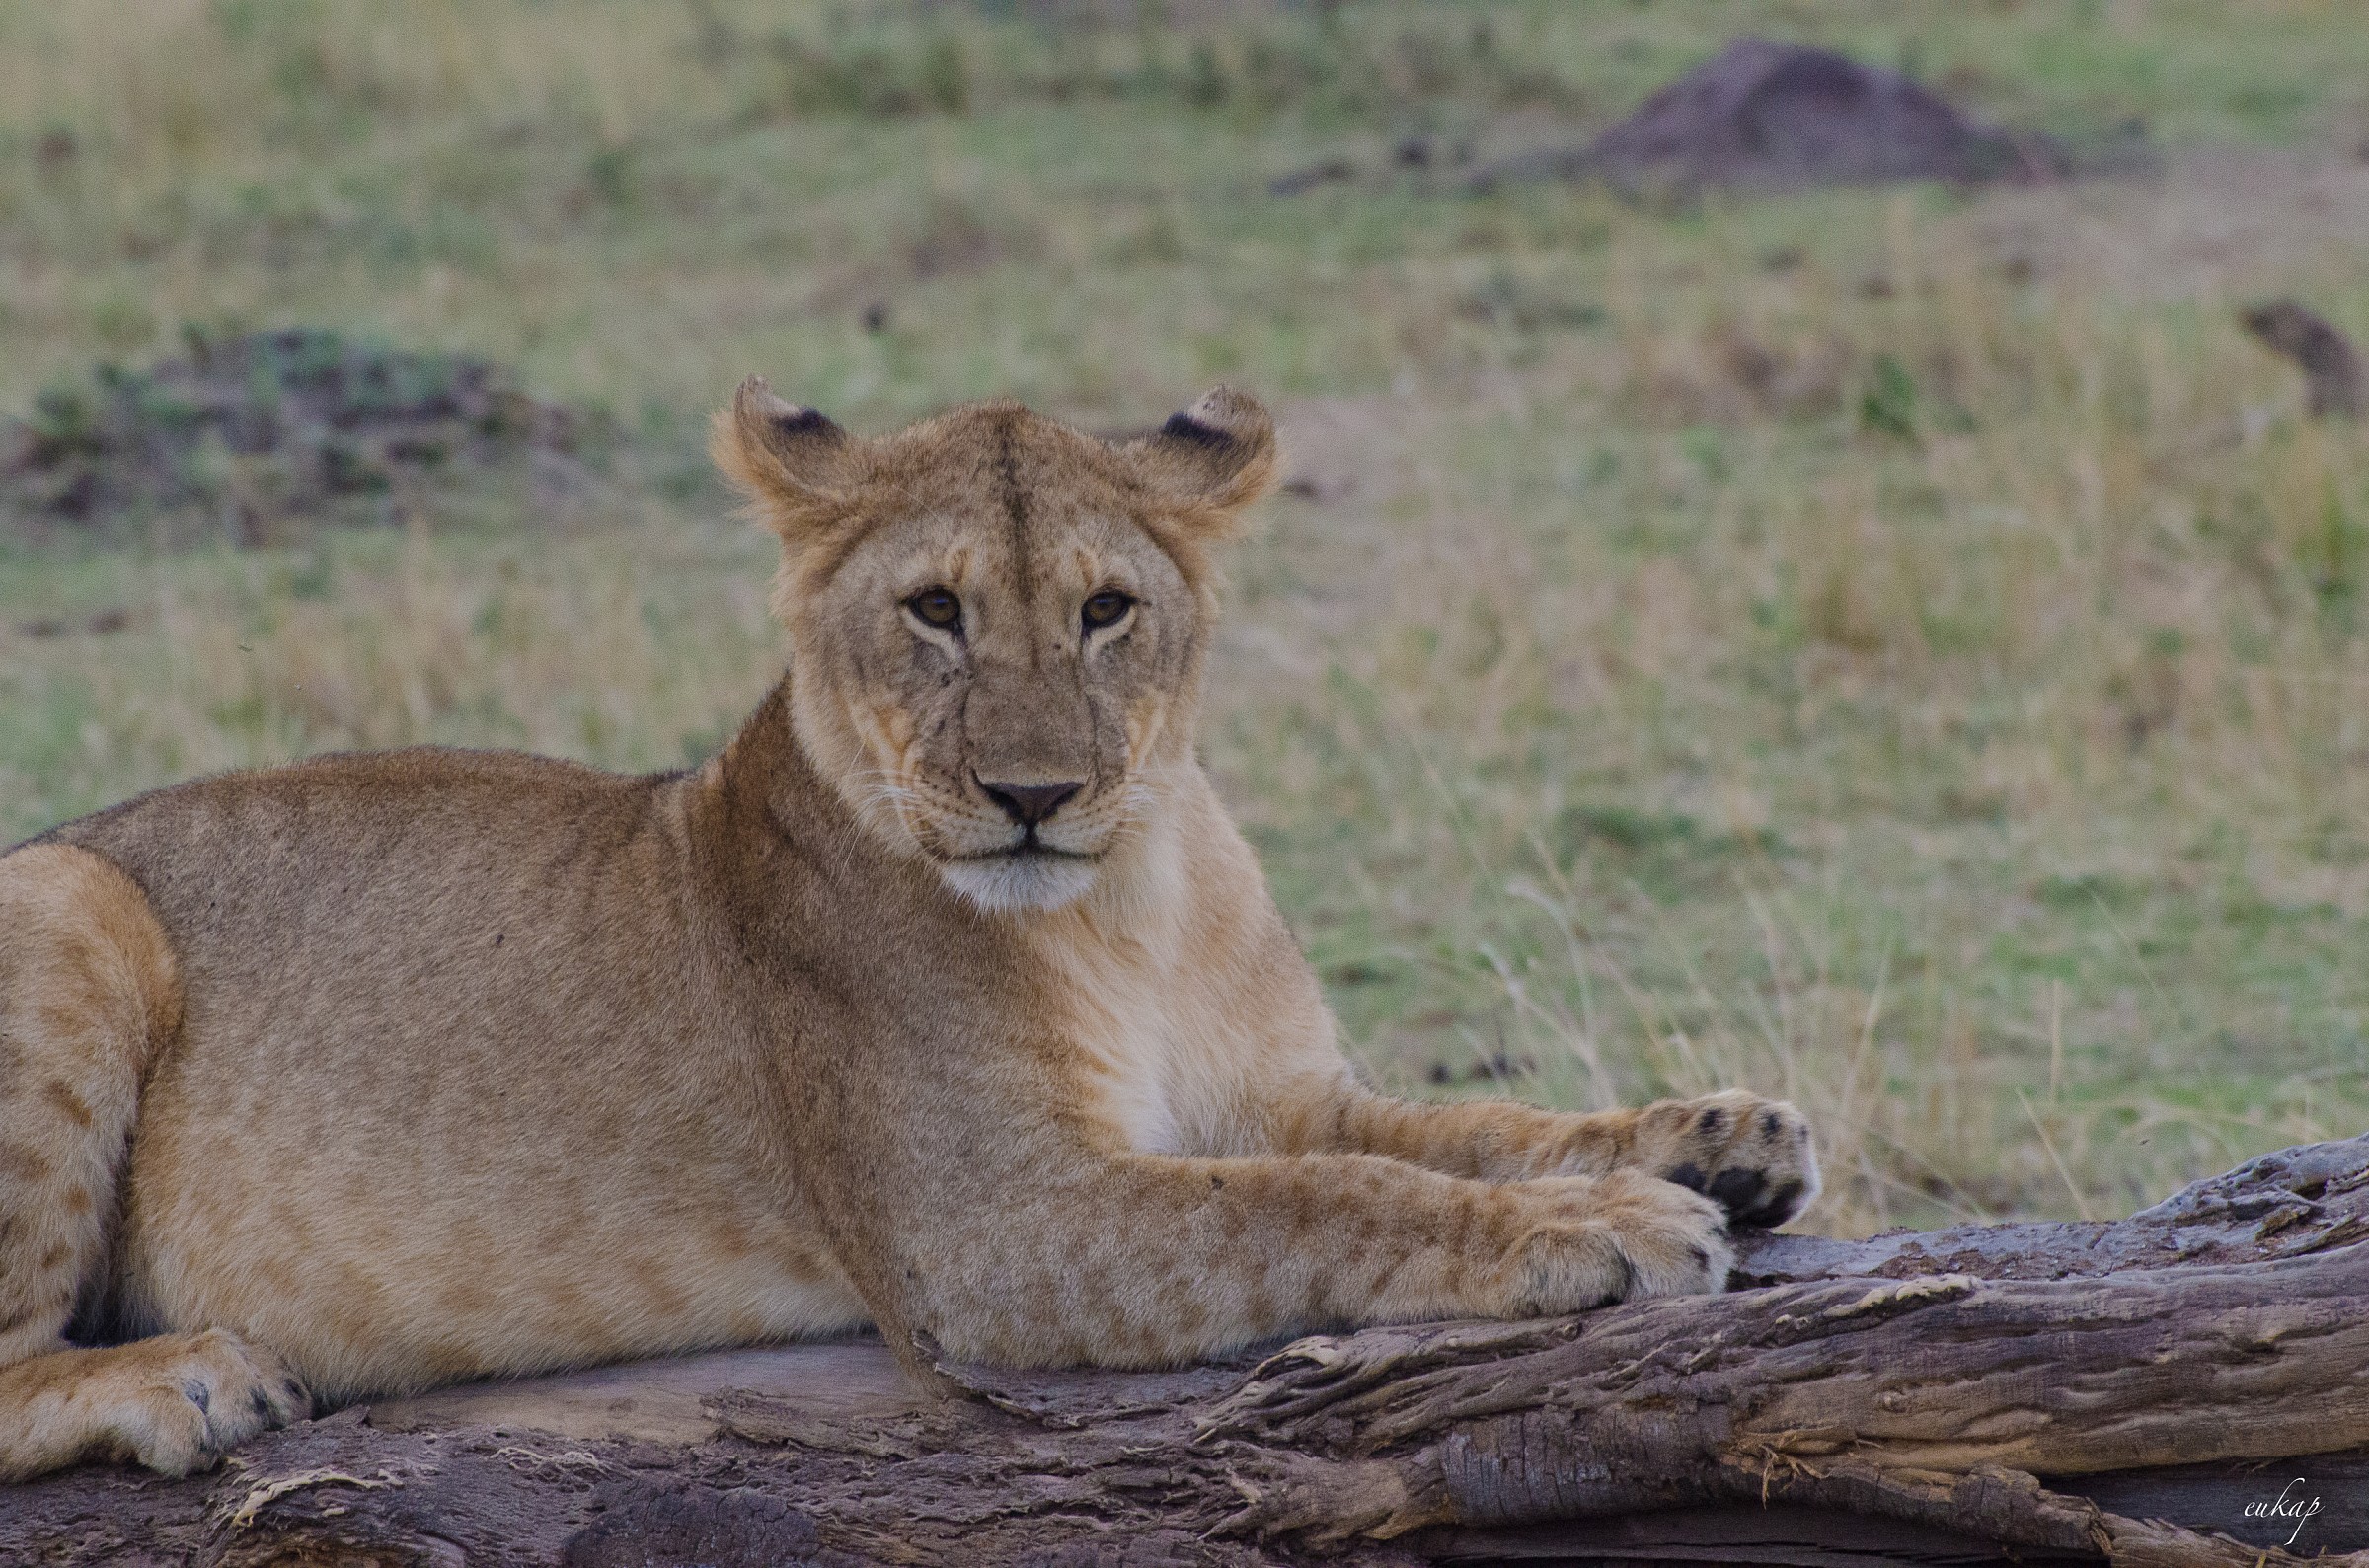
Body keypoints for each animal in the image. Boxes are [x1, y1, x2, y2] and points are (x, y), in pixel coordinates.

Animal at [0, 381, 1817, 1482]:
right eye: (934, 609)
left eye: (1106, 608)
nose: (1032, 792)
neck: (1134, 899)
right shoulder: (989, 1231)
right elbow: (1336, 1193)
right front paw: (1602, 1227)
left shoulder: (1282, 1089)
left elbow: (1461, 1124)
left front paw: (1717, 1136)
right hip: (68, 898)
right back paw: (188, 1378)